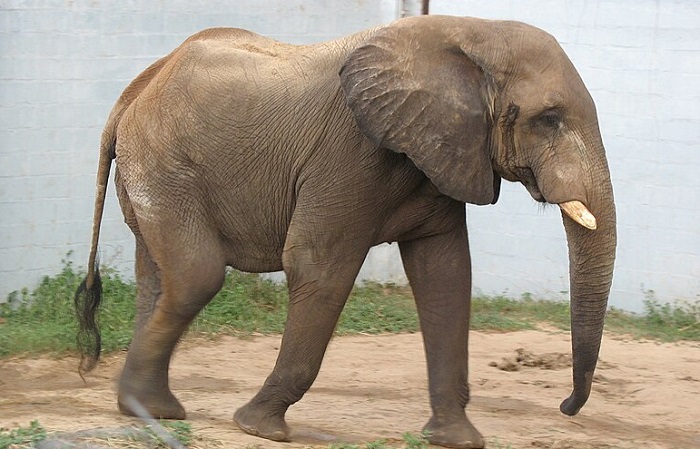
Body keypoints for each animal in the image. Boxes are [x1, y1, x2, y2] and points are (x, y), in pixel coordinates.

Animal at [74, 14, 616, 448]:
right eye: (549, 119)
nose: (566, 407)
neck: (471, 32)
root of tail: (137, 89)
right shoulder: (349, 153)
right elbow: (319, 266)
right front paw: (259, 428)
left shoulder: (440, 152)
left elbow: (445, 275)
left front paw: (456, 440)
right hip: (165, 166)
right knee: (196, 277)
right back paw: (148, 408)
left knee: (159, 280)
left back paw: (148, 409)